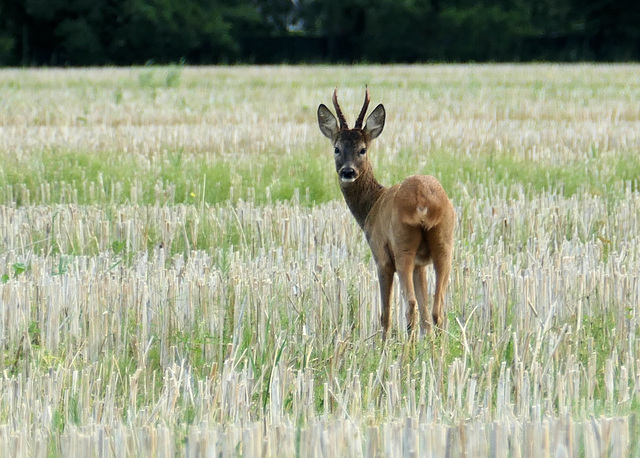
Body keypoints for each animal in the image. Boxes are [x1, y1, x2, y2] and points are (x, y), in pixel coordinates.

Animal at [318, 88, 452, 340]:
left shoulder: (380, 254)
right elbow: (426, 313)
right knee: (436, 309)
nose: (348, 171)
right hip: (444, 243)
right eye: (337, 148)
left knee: (410, 306)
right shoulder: (421, 264)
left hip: (402, 246)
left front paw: (381, 344)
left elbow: (385, 313)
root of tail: (424, 204)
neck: (372, 205)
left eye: (362, 149)